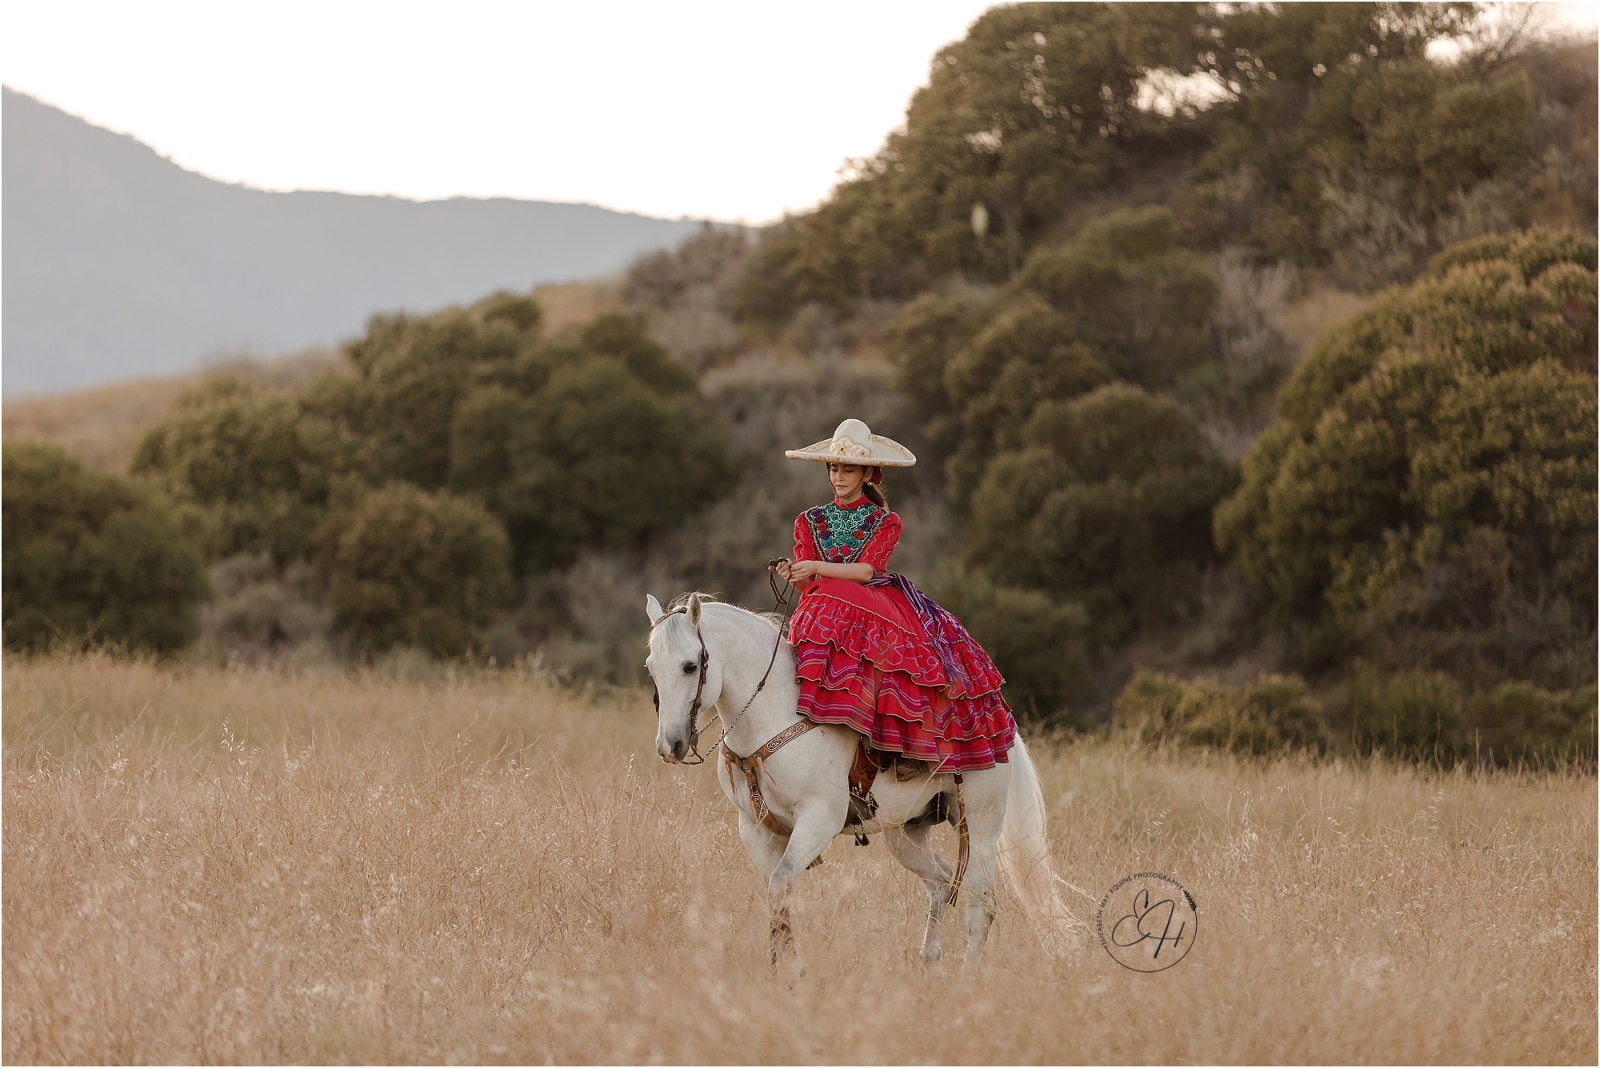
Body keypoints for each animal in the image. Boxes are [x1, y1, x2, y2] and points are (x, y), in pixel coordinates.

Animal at [643, 591, 1081, 978]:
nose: (669, 745)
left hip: (980, 825)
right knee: (941, 882)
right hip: (905, 834)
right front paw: (786, 973)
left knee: (980, 905)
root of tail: (999, 727)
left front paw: (789, 975)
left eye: (689, 666)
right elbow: (777, 896)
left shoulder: (819, 819)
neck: (774, 714)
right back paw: (931, 965)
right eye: (651, 667)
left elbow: (781, 884)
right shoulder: (755, 829)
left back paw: (966, 981)